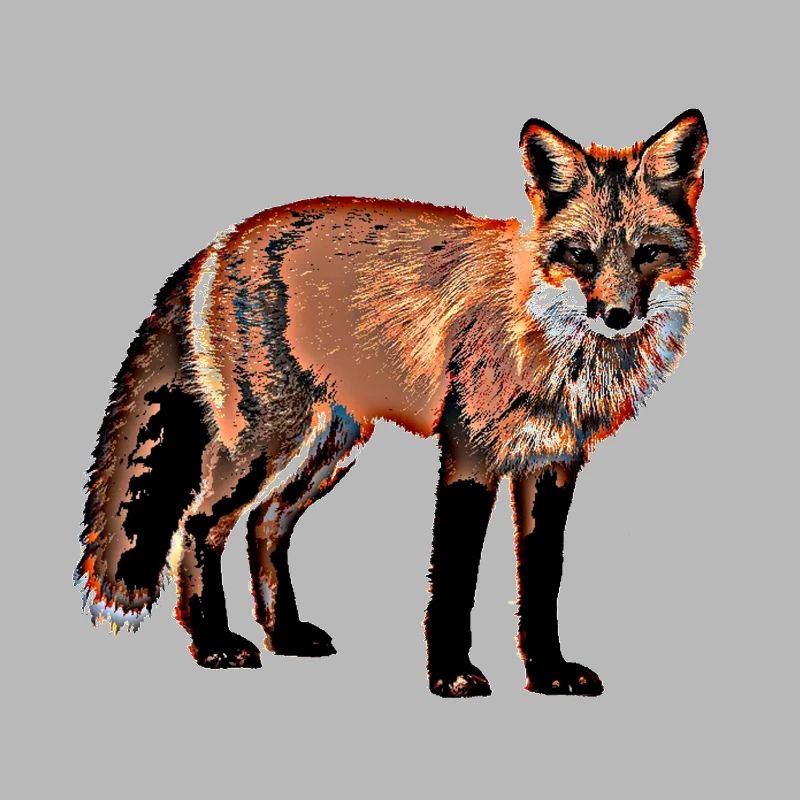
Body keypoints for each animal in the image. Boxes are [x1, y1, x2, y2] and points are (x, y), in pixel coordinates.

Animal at [76, 109, 707, 698]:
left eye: (649, 252)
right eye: (580, 255)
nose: (617, 316)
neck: (553, 344)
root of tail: (222, 240)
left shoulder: (553, 464)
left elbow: (541, 581)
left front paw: (548, 673)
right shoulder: (469, 452)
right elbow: (454, 579)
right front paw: (451, 675)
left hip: (331, 446)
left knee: (266, 522)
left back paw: (284, 636)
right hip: (267, 443)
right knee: (198, 524)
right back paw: (213, 644)